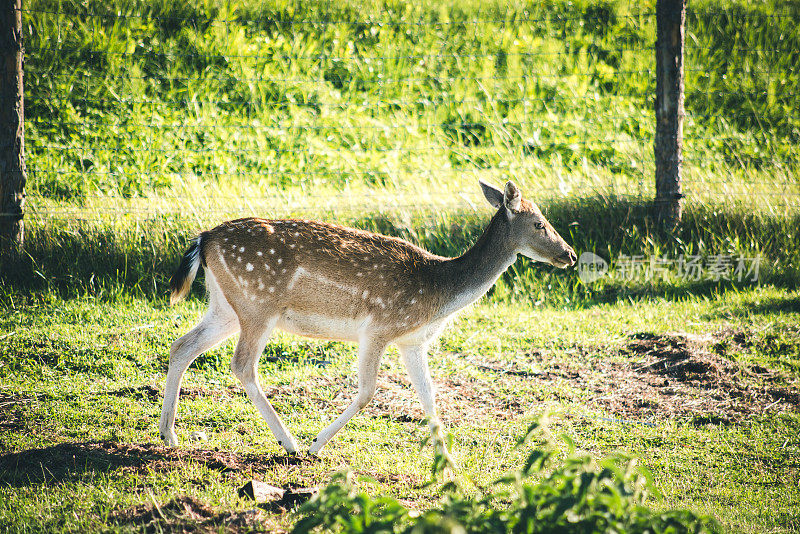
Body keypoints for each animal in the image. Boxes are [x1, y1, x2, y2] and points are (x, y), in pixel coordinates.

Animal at [161, 182, 576, 458]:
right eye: (539, 223)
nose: (570, 254)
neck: (438, 293)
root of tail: (204, 238)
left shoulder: (412, 341)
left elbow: (429, 397)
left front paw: (449, 464)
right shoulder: (379, 326)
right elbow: (367, 393)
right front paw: (317, 444)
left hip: (226, 306)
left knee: (182, 346)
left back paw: (169, 435)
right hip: (258, 305)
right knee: (242, 364)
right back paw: (290, 442)